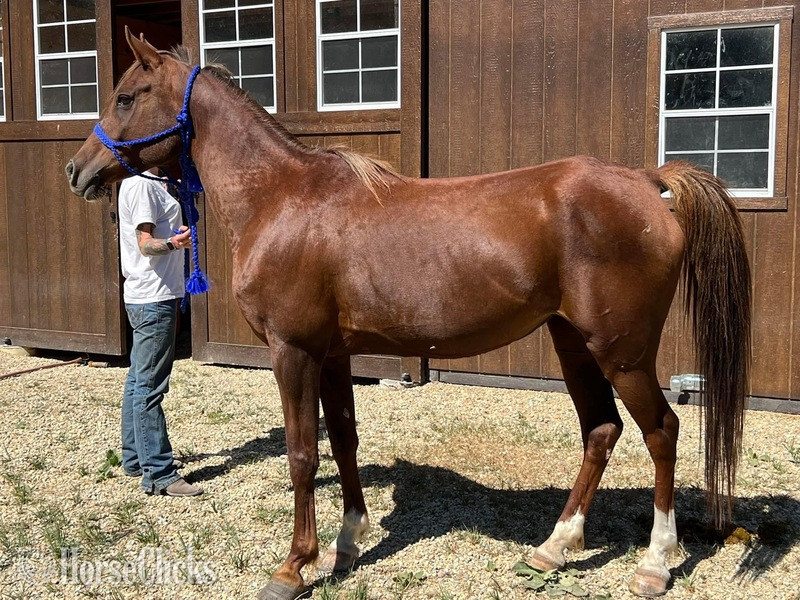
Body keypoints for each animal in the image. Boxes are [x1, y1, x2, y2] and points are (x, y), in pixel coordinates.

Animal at [66, 30, 751, 600]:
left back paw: (655, 563)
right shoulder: (332, 353)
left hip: (622, 352)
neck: (282, 198)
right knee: (601, 431)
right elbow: (342, 438)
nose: (77, 170)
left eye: (126, 97)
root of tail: (647, 182)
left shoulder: (293, 351)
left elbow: (301, 453)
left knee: (661, 431)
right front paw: (346, 543)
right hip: (573, 342)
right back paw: (554, 548)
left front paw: (293, 567)